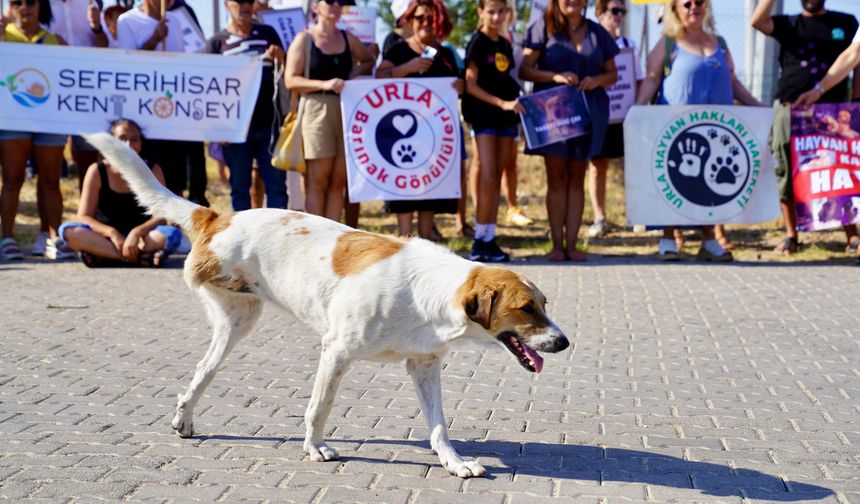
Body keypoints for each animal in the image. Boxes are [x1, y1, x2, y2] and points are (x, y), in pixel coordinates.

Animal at [87, 132, 572, 478]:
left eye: (545, 303)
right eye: (526, 309)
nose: (565, 342)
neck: (431, 294)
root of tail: (219, 216)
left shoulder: (423, 366)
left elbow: (439, 425)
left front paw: (453, 463)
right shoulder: (336, 352)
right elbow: (319, 407)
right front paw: (315, 447)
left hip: (236, 324)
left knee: (199, 374)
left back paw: (184, 419)